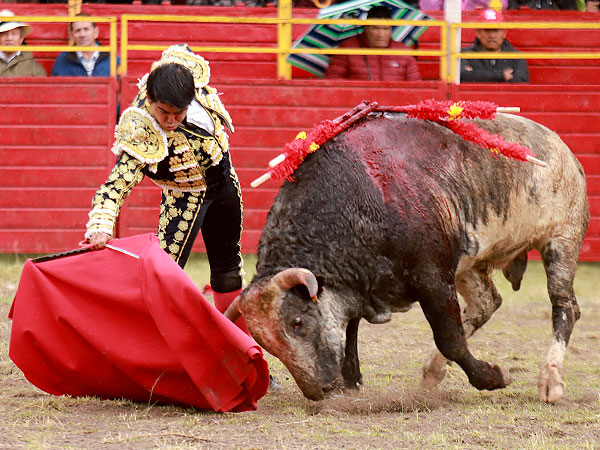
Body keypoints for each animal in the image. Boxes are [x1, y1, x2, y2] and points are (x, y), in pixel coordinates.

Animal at [225, 110, 584, 404]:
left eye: (296, 322)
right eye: (265, 343)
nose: (320, 390)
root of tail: (563, 150)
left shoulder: (433, 279)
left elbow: (449, 337)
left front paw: (492, 378)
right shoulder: (356, 285)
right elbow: (350, 333)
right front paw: (353, 382)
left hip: (561, 241)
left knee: (564, 308)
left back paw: (550, 380)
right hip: (468, 264)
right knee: (487, 303)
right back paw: (433, 371)